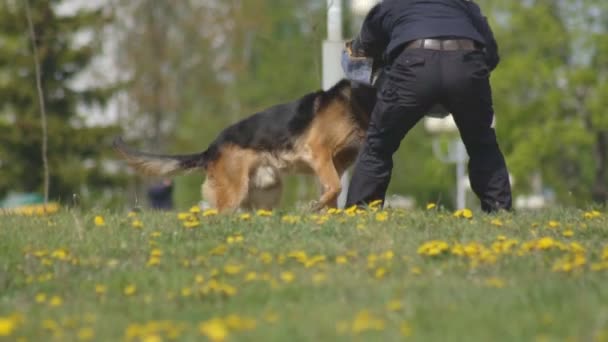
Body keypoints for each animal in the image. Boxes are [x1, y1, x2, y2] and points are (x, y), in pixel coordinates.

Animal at [113, 80, 376, 212]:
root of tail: (210, 150)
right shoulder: (319, 153)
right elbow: (335, 187)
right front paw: (315, 206)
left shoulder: (336, 163)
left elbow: (334, 192)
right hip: (232, 193)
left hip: (266, 192)